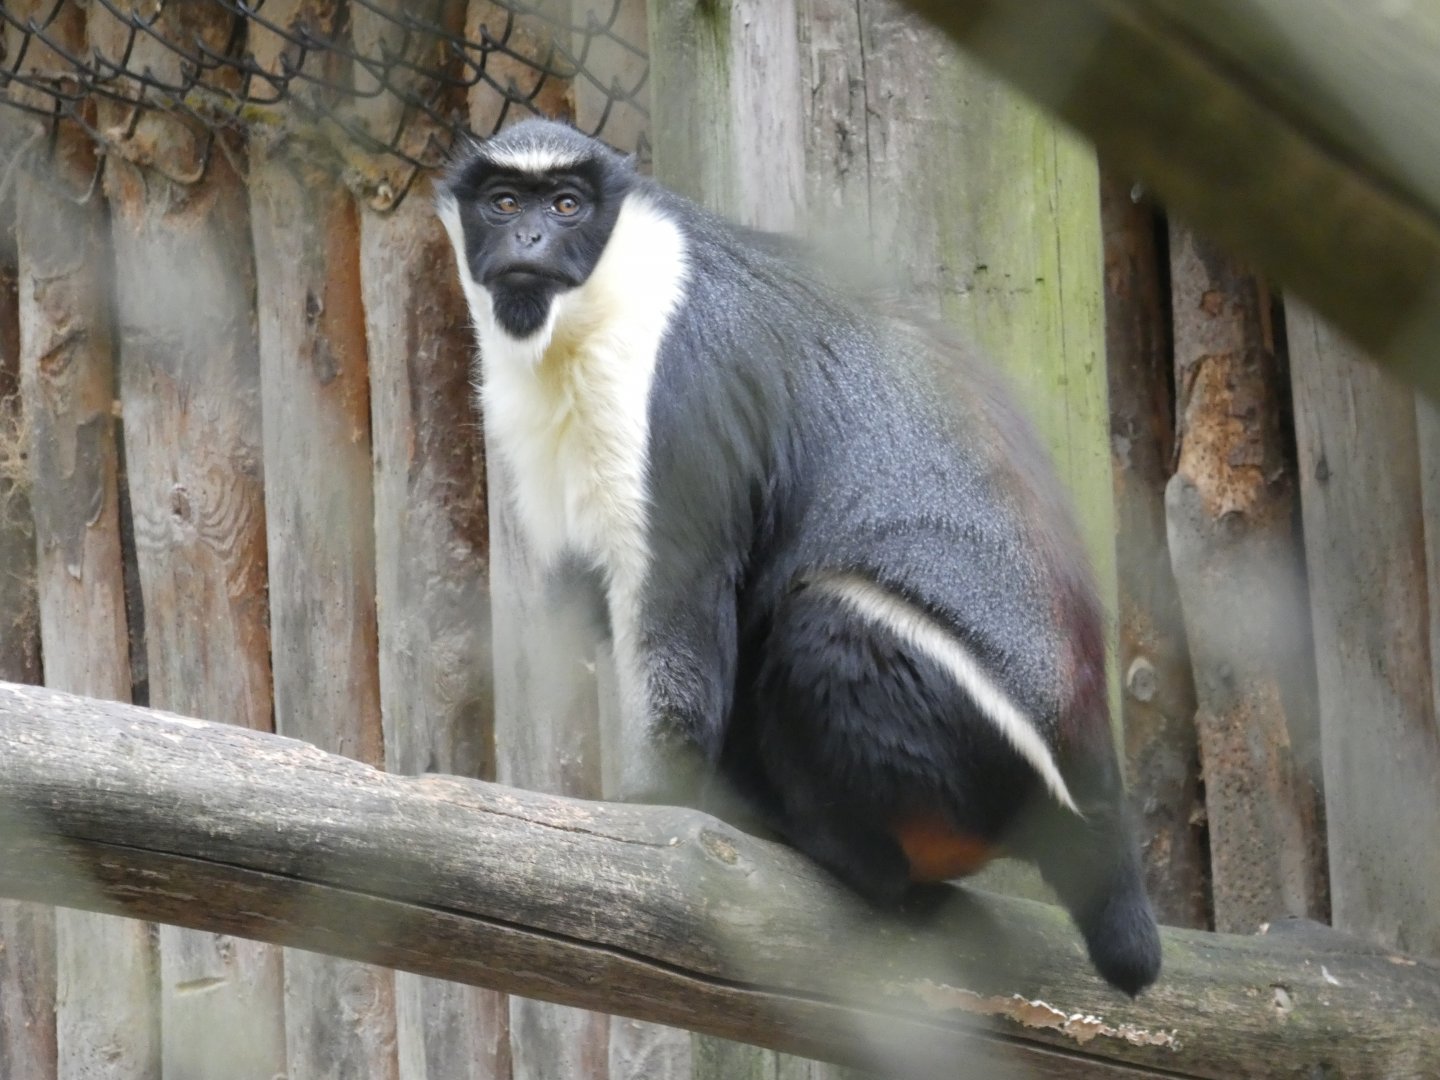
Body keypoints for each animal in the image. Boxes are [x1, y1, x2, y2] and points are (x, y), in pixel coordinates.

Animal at [436, 118, 1161, 996]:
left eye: (567, 204)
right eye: (504, 203)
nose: (529, 240)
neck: (602, 296)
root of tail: (1099, 804)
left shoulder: (675, 390)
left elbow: (678, 603)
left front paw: (650, 804)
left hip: (979, 746)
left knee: (825, 619)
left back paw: (842, 849)